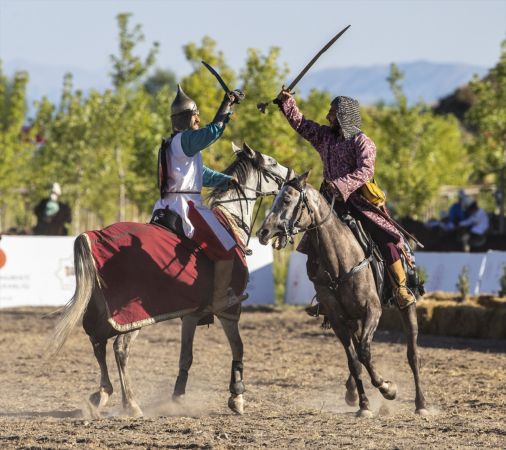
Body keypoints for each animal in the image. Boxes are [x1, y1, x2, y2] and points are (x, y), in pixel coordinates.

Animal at [50, 142, 292, 416]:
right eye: (272, 162)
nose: (291, 177)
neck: (229, 222)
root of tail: (92, 236)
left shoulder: (191, 314)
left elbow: (186, 356)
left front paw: (178, 395)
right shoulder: (230, 309)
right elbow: (238, 347)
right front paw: (237, 395)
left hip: (102, 310)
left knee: (97, 342)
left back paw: (102, 394)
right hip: (131, 317)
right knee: (119, 348)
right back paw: (130, 403)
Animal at [256, 173, 426, 418]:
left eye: (287, 200)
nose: (263, 233)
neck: (340, 261)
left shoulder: (372, 310)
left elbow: (364, 352)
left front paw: (387, 388)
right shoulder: (338, 319)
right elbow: (354, 361)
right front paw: (364, 404)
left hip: (405, 307)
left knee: (412, 355)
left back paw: (421, 403)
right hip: (353, 320)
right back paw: (352, 391)